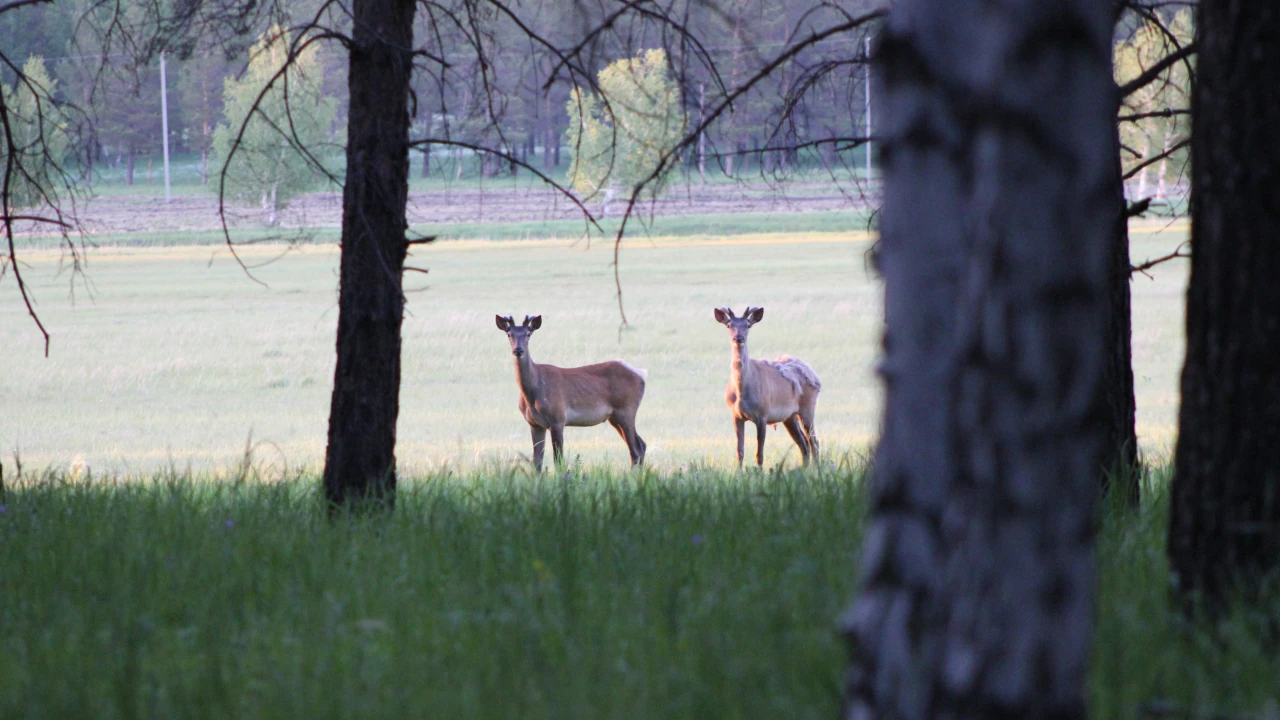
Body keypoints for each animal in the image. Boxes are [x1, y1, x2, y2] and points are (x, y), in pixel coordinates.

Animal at [491, 313, 645, 471]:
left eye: (528, 334)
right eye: (509, 334)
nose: (518, 350)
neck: (534, 393)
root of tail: (641, 374)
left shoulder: (558, 418)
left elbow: (558, 460)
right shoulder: (534, 423)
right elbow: (537, 461)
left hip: (626, 409)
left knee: (636, 448)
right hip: (614, 416)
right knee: (641, 445)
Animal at [711, 303, 819, 466]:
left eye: (748, 325)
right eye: (729, 325)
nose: (739, 338)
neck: (742, 392)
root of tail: (815, 376)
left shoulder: (762, 414)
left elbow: (759, 454)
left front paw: (759, 471)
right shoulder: (736, 415)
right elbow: (739, 451)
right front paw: (739, 471)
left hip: (808, 407)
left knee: (814, 442)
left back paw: (817, 467)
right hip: (789, 416)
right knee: (803, 443)